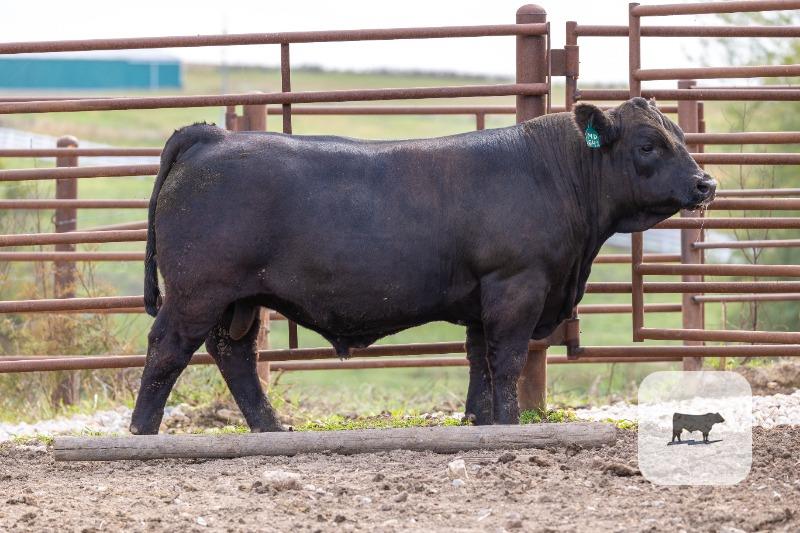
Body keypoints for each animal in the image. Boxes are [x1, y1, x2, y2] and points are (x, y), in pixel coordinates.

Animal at [129, 97, 716, 435]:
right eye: (648, 144)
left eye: (681, 136)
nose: (705, 183)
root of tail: (212, 135)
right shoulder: (516, 285)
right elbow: (507, 359)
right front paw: (509, 423)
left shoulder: (482, 297)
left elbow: (480, 361)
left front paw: (477, 421)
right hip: (199, 290)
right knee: (167, 348)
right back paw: (143, 430)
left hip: (240, 300)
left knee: (236, 356)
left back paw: (272, 428)